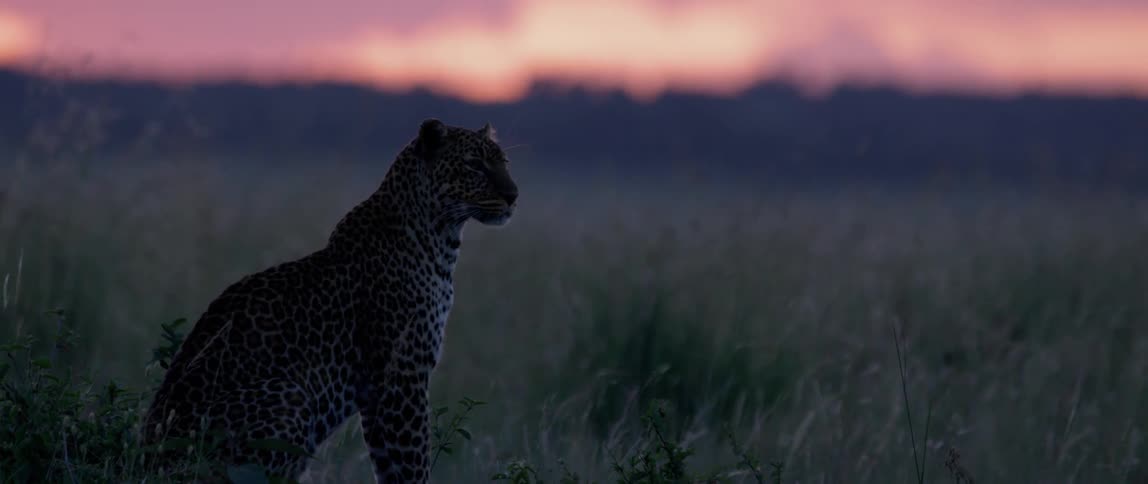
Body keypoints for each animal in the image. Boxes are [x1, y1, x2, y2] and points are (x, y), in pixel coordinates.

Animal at [141, 118, 519, 483]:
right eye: (474, 165)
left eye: (503, 163)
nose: (514, 195)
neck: (440, 237)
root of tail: (148, 456)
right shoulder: (402, 375)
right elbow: (414, 461)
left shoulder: (374, 396)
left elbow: (388, 466)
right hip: (290, 398)